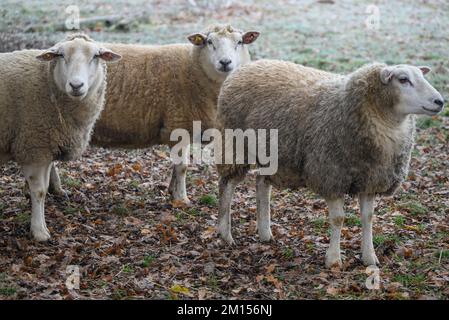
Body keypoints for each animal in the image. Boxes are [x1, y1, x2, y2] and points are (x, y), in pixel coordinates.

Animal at [0, 34, 121, 240]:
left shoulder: (46, 148)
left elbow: (46, 184)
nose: (76, 85)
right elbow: (39, 191)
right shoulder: (33, 147)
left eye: (95, 56)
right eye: (61, 55)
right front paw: (39, 231)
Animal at [215, 59, 442, 268]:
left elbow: (368, 217)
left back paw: (265, 233)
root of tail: (248, 66)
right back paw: (225, 234)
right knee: (227, 185)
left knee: (262, 184)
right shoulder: (331, 176)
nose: (439, 101)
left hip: (272, 154)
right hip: (235, 144)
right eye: (403, 80)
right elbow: (338, 219)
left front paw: (369, 258)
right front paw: (333, 259)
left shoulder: (370, 179)